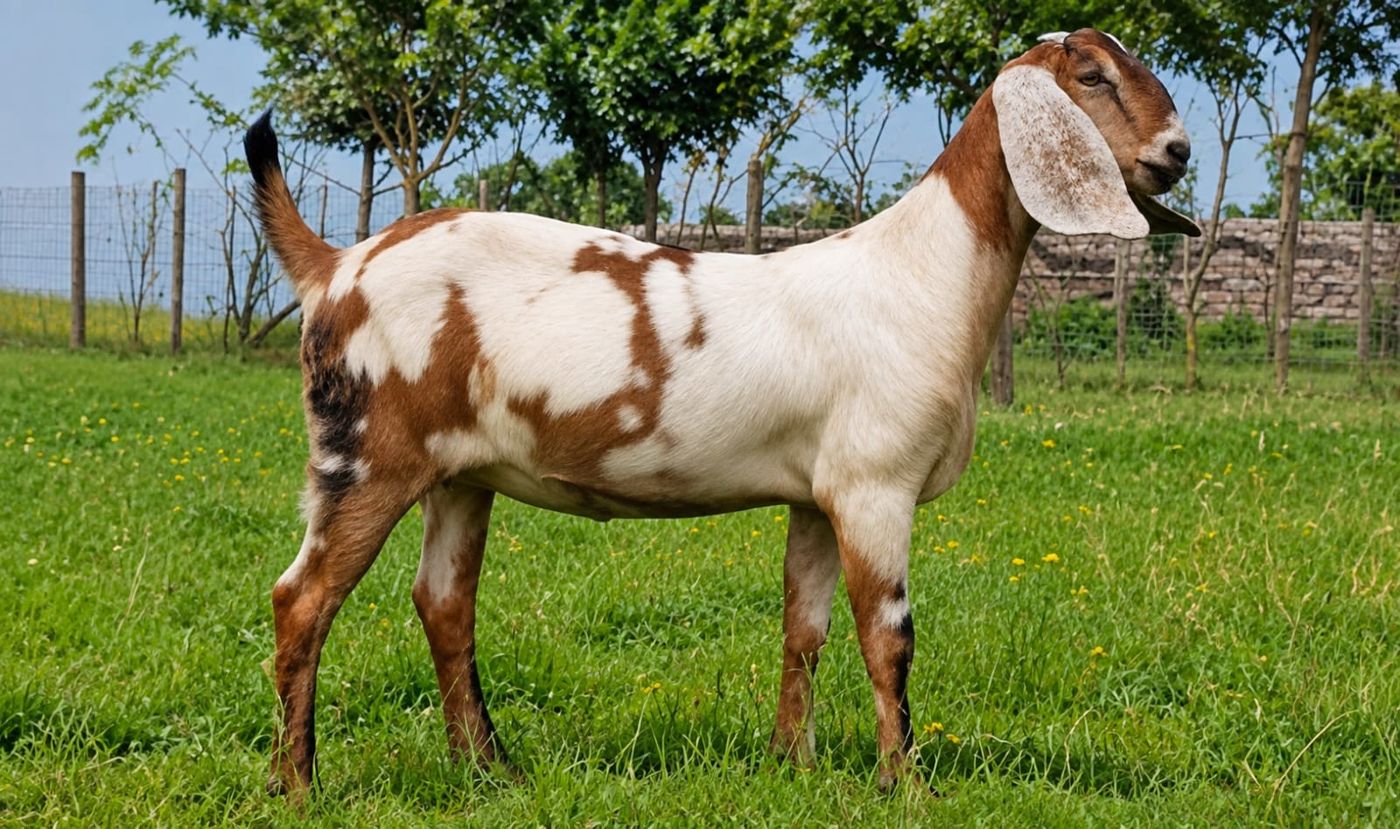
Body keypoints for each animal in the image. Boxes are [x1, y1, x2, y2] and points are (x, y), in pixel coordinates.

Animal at [248, 27, 1199, 797]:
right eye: (1091, 75)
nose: (1178, 150)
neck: (919, 272)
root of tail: (334, 265)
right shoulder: (875, 484)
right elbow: (888, 636)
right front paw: (906, 786)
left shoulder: (819, 493)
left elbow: (805, 628)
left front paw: (794, 762)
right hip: (367, 453)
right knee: (302, 599)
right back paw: (298, 785)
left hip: (458, 472)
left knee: (443, 603)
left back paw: (490, 769)